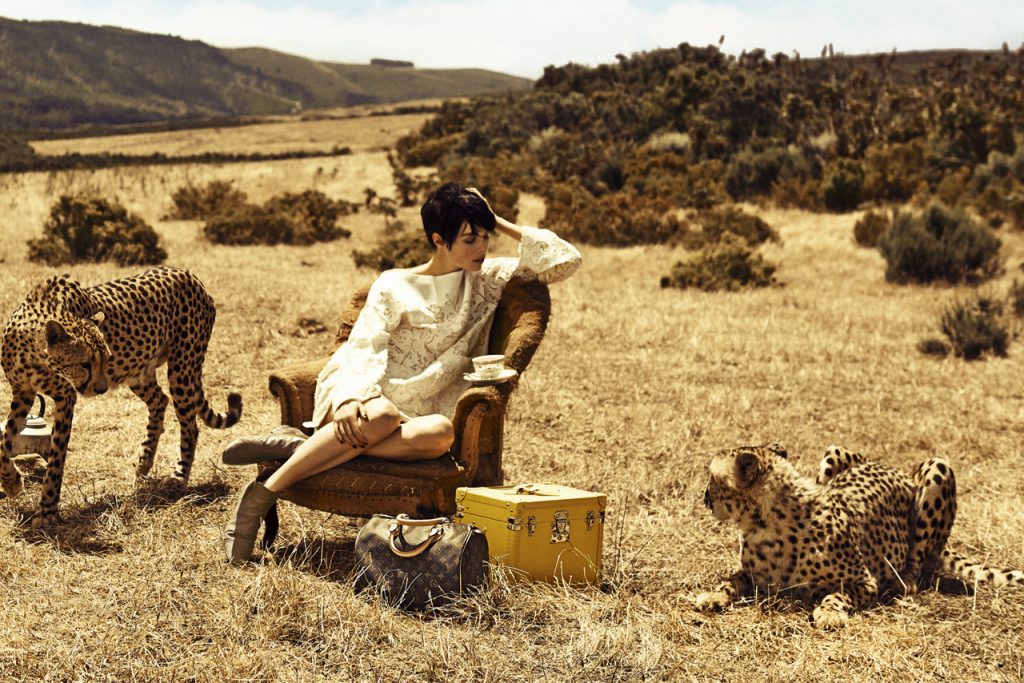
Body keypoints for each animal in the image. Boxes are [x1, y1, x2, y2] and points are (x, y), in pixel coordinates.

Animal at [0, 266, 242, 525]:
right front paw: (11, 483)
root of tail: (187, 274)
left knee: (190, 425)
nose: (101, 389)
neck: (35, 352)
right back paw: (144, 461)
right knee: (160, 400)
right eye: (85, 363)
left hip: (182, 368)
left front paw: (47, 511)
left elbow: (56, 459)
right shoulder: (23, 393)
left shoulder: (66, 399)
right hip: (137, 371)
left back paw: (178, 477)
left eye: (106, 358)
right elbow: (5, 440)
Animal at [697, 443, 1024, 629]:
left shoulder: (865, 581)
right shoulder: (754, 575)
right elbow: (731, 579)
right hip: (834, 452)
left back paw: (900, 589)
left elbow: (838, 593)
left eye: (712, 478)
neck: (764, 524)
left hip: (937, 468)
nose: (705, 497)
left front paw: (828, 612)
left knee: (916, 566)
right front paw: (713, 594)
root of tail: (895, 469)